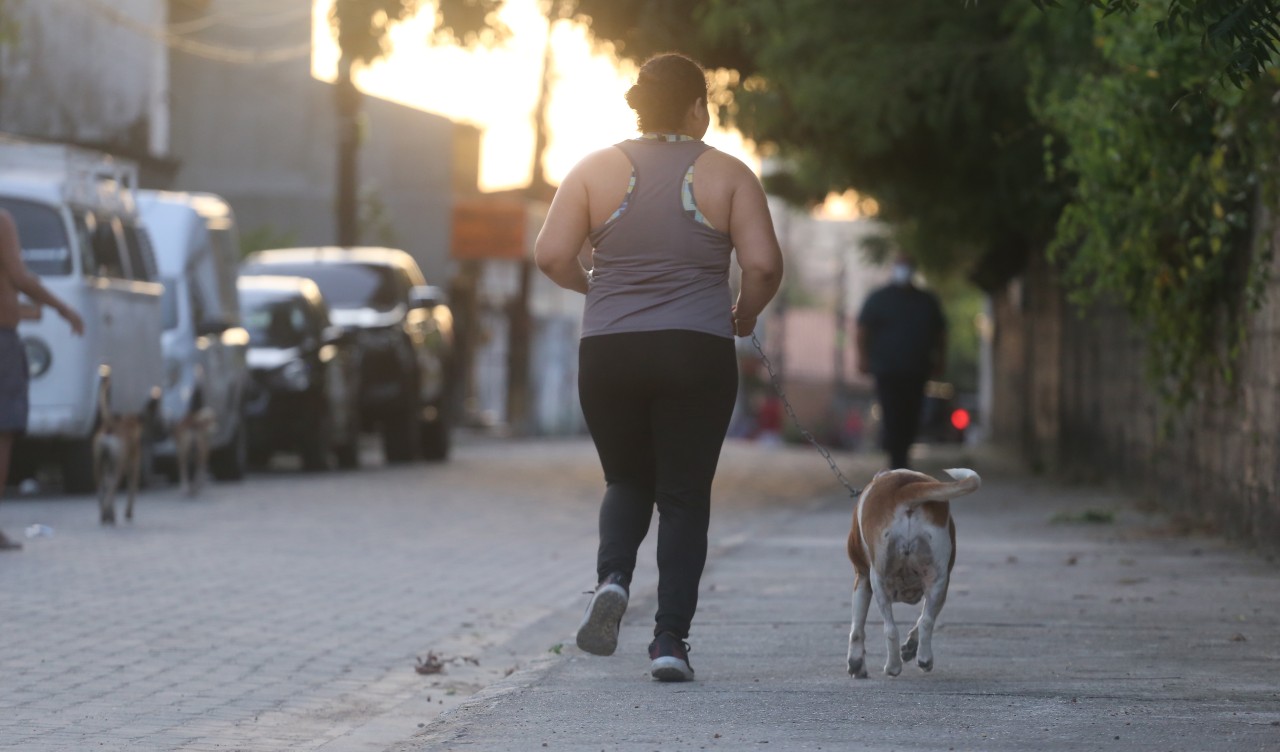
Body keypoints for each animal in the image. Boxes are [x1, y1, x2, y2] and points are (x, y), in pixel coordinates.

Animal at [92, 373, 145, 521]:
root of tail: (110, 425)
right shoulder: (134, 464)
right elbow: (132, 488)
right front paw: (128, 512)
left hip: (99, 464)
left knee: (101, 489)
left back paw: (105, 514)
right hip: (118, 467)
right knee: (111, 490)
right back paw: (108, 515)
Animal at [844, 468, 983, 680]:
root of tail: (904, 488)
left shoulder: (862, 578)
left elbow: (857, 628)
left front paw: (856, 663)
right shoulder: (942, 581)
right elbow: (924, 617)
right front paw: (910, 646)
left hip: (878, 580)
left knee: (890, 628)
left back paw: (893, 667)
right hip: (937, 577)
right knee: (926, 620)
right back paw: (924, 658)